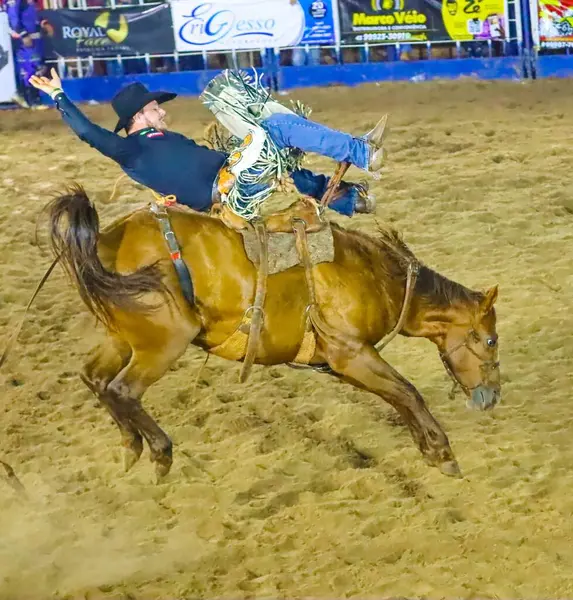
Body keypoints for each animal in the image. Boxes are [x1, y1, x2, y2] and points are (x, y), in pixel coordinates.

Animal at [44, 188, 500, 482]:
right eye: (490, 340)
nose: (493, 397)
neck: (376, 274)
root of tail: (106, 238)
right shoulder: (351, 353)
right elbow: (407, 392)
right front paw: (443, 453)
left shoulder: (341, 362)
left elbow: (397, 397)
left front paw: (430, 450)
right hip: (163, 341)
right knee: (122, 389)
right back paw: (159, 453)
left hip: (122, 338)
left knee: (95, 378)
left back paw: (130, 447)